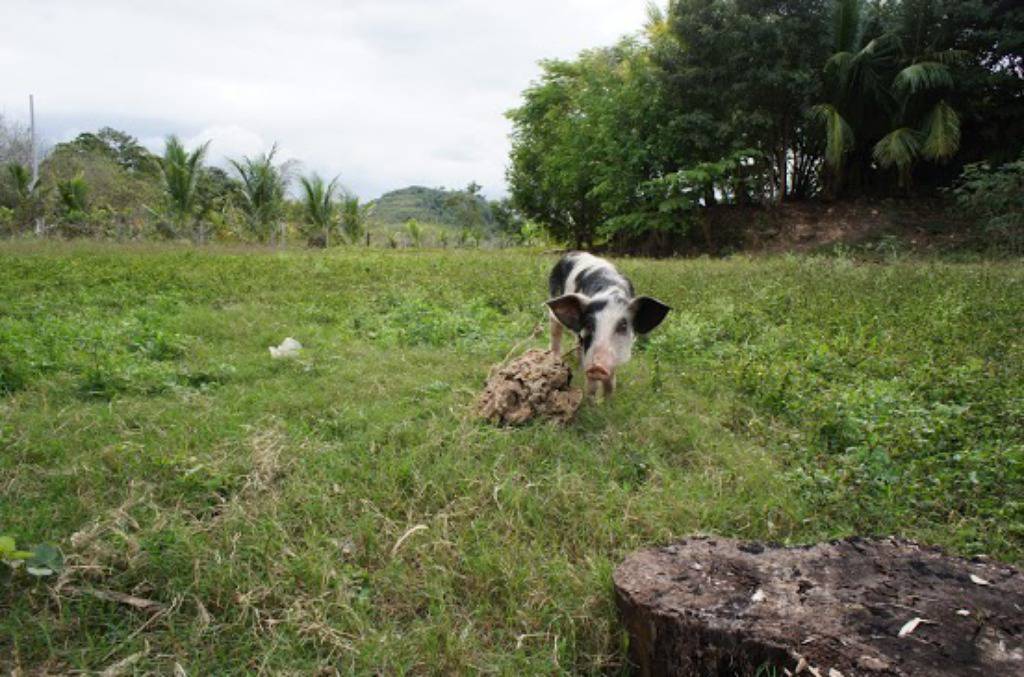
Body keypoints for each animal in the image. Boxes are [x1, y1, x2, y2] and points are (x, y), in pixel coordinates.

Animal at [544, 250, 671, 399]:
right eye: (589, 325)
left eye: (623, 326)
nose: (597, 367)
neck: (610, 293)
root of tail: (572, 252)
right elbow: (592, 383)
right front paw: (590, 401)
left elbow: (611, 379)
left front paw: (608, 400)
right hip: (554, 302)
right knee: (555, 332)